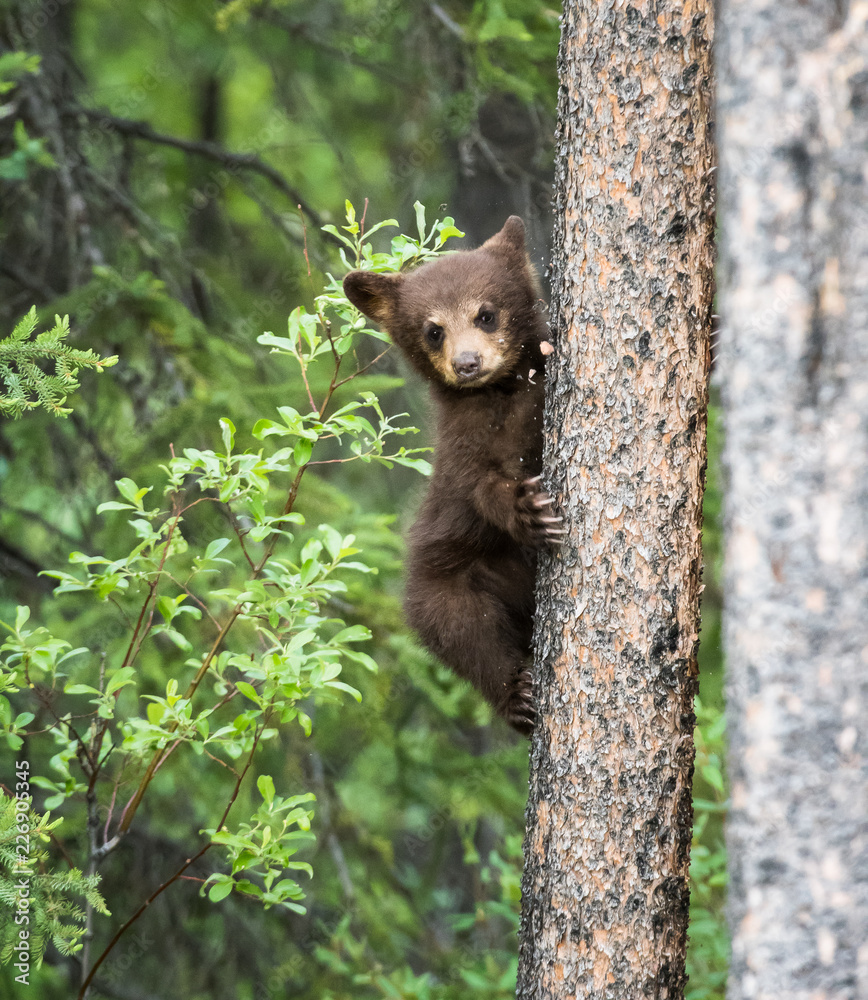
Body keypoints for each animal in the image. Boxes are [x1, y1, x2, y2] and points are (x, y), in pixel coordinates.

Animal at [343, 216, 561, 734]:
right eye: (433, 330)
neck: (502, 396)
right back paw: (517, 697)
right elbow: (479, 488)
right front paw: (528, 509)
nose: (467, 364)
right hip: (444, 589)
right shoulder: (463, 448)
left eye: (486, 315)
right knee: (469, 639)